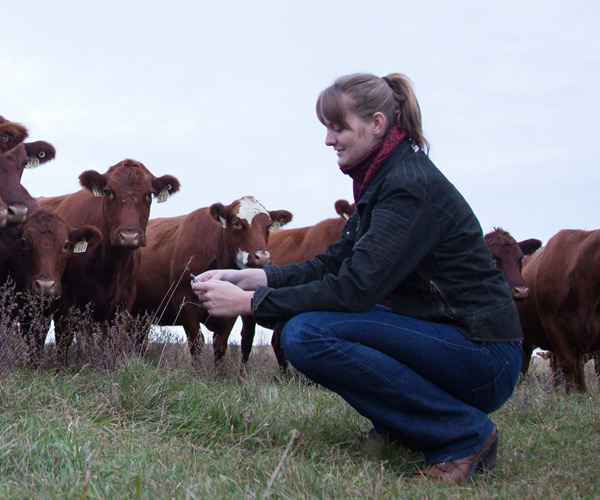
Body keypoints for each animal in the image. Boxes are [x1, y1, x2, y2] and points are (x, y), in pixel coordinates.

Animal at [36, 160, 178, 368]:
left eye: (149, 194)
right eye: (108, 192)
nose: (129, 235)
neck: (109, 266)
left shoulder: (124, 302)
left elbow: (115, 343)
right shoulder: (65, 301)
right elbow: (64, 340)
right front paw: (61, 370)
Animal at [131, 196, 292, 368]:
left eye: (268, 226)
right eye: (236, 223)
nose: (262, 257)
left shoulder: (230, 309)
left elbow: (220, 346)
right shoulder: (184, 302)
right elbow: (196, 345)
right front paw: (198, 373)